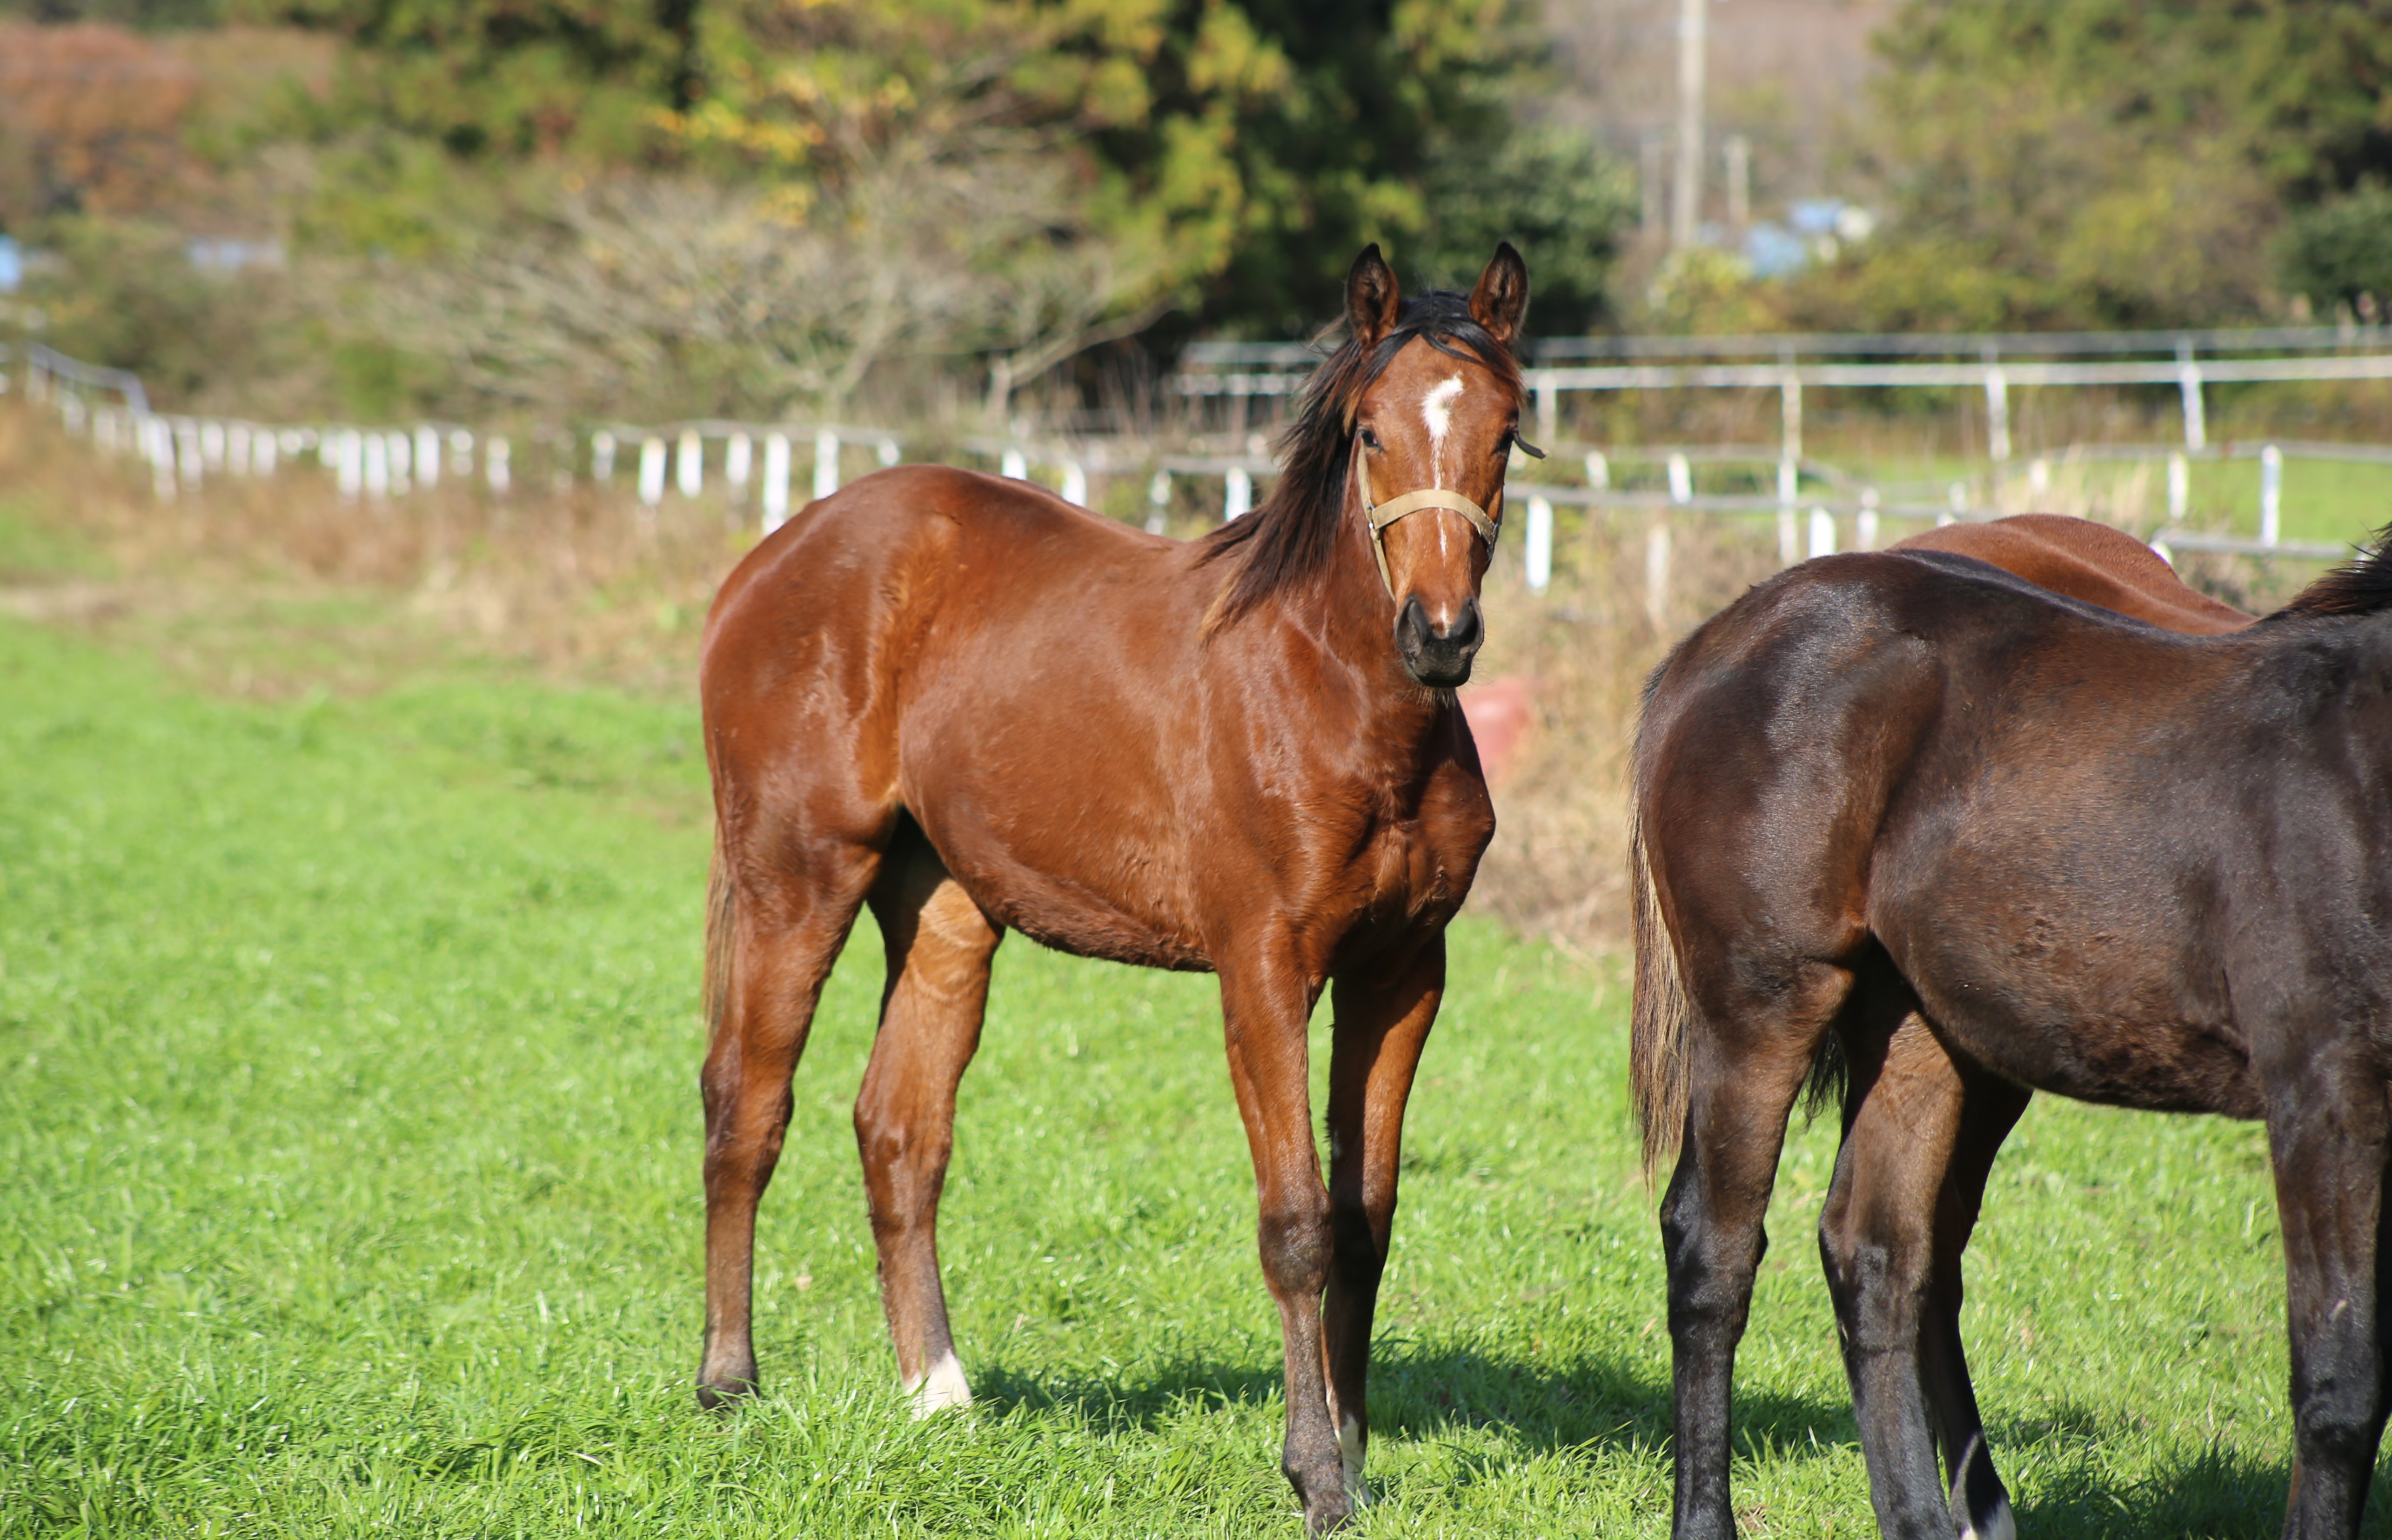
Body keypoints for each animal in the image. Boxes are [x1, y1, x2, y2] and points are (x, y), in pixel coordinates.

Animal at [693, 240, 1531, 1530]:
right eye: (1371, 431)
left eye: (1506, 426)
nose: (1439, 635)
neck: (1337, 701)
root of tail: (770, 560)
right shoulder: (1262, 966)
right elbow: (1294, 1221)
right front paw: (1314, 1473)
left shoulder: (1402, 971)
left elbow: (1364, 1218)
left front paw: (1354, 1449)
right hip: (796, 875)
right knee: (747, 1101)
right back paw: (730, 1386)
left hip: (945, 910)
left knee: (899, 1128)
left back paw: (939, 1395)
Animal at [1636, 533, 2392, 1540]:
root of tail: (1708, 644)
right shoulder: (2323, 1084)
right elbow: (2339, 1383)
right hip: (1758, 1003)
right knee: (1713, 1248)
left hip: (1921, 1033)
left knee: (1877, 1250)